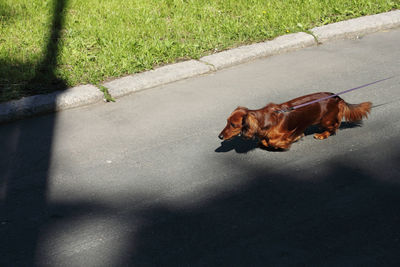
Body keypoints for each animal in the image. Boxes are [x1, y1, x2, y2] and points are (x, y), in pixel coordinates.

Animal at [219, 92, 372, 151]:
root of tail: (337, 97)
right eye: (226, 121)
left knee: (334, 127)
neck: (264, 119)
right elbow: (263, 140)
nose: (219, 136)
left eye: (233, 124)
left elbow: (273, 141)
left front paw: (295, 138)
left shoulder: (283, 133)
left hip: (325, 120)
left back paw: (322, 134)